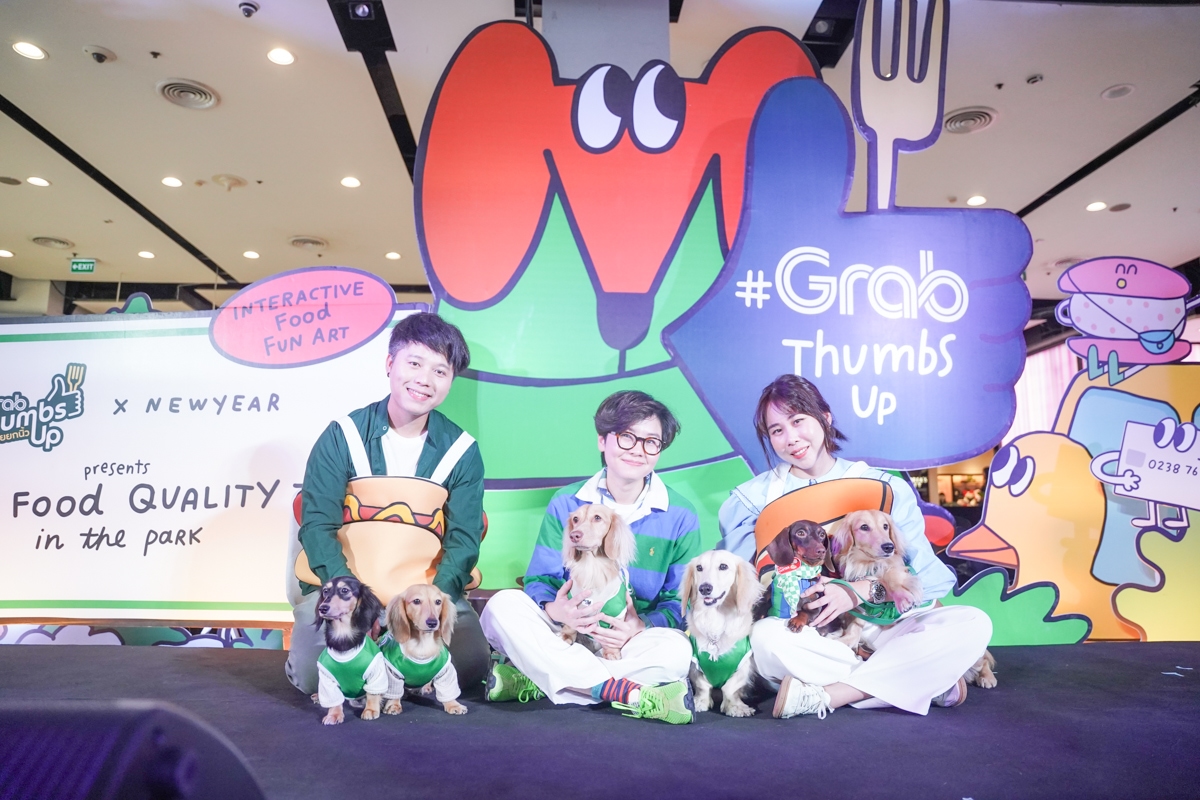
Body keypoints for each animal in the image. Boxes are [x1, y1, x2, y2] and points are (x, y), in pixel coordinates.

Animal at [314, 575, 386, 725]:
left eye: (344, 590)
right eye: (325, 591)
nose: (323, 608)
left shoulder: (376, 671)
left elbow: (373, 694)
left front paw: (371, 710)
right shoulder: (326, 676)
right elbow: (334, 699)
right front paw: (333, 714)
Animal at [380, 584, 467, 715]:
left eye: (438, 602)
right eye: (416, 601)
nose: (432, 622)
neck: (422, 645)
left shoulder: (445, 670)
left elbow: (448, 690)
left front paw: (453, 705)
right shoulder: (392, 671)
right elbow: (394, 691)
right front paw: (393, 705)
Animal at [559, 504, 637, 660]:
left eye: (597, 517)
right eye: (575, 519)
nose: (574, 535)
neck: (592, 567)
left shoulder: (617, 613)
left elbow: (612, 636)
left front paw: (612, 652)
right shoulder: (573, 605)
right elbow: (570, 623)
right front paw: (567, 635)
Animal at [680, 550, 764, 716]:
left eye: (723, 566)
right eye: (699, 568)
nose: (704, 588)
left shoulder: (744, 666)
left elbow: (730, 688)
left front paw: (736, 707)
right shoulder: (695, 665)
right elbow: (702, 686)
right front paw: (700, 702)